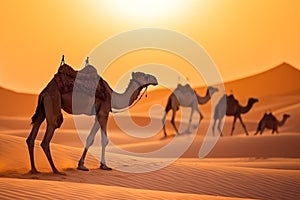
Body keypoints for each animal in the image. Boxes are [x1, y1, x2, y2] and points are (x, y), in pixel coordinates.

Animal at [25, 57, 159, 173]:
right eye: (144, 75)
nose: (155, 78)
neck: (112, 96)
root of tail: (44, 92)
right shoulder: (104, 112)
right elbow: (104, 140)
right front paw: (104, 165)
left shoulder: (98, 114)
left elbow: (90, 138)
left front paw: (81, 165)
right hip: (53, 102)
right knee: (48, 135)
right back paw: (55, 170)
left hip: (43, 109)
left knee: (31, 136)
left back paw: (34, 169)